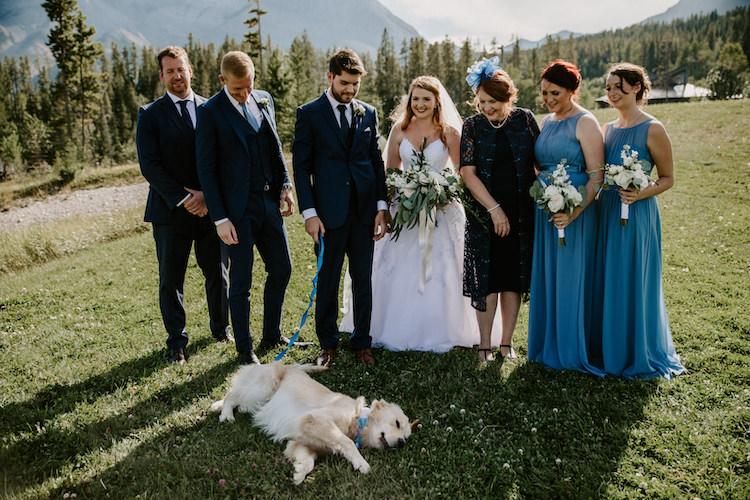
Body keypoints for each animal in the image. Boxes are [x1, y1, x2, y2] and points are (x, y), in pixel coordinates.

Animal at [209, 364, 414, 484]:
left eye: (406, 437)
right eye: (396, 423)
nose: (401, 443)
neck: (357, 420)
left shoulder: (302, 442)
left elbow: (308, 462)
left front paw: (299, 472)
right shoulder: (315, 419)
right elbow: (347, 443)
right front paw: (361, 463)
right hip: (264, 388)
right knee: (232, 395)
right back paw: (226, 415)